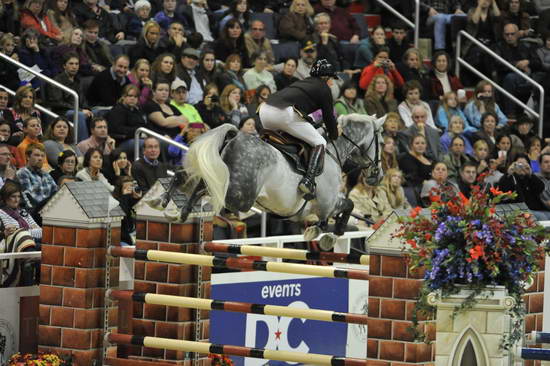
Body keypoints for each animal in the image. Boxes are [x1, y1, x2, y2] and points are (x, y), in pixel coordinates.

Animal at [149, 113, 386, 250]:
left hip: (221, 173)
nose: (378, 175)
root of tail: (235, 135)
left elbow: (344, 208)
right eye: (382, 141)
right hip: (240, 197)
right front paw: (330, 234)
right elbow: (348, 205)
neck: (331, 152)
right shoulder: (327, 204)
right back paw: (175, 208)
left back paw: (165, 204)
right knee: (208, 190)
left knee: (188, 179)